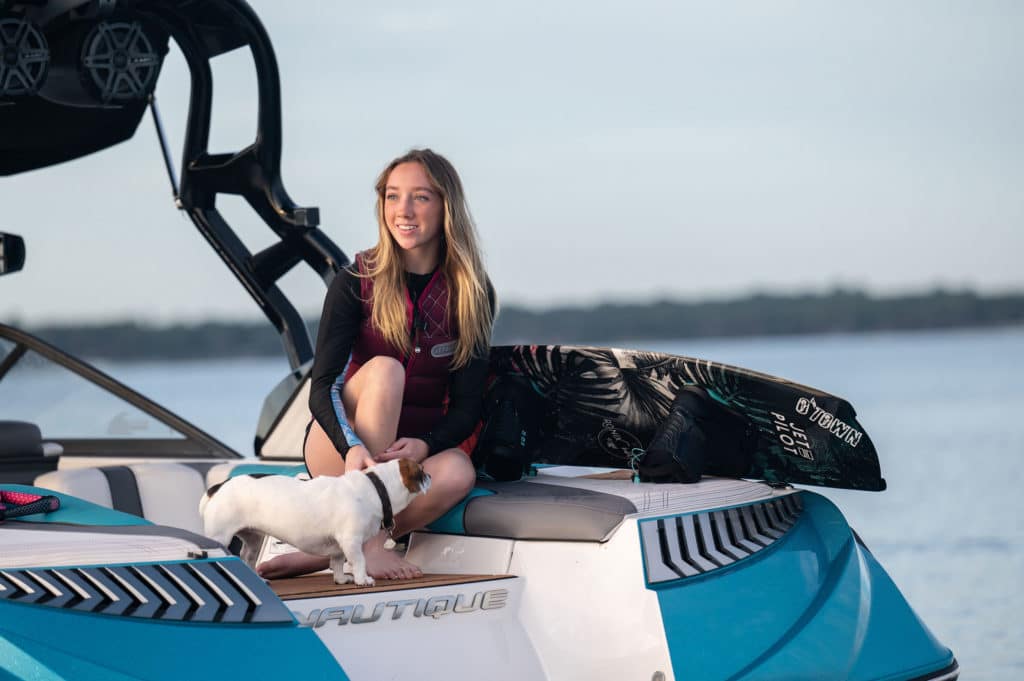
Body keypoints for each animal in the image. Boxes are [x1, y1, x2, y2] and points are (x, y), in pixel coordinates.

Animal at [197, 456, 430, 585]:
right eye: (422, 471)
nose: (430, 476)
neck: (376, 486)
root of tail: (218, 487)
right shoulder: (351, 540)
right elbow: (360, 561)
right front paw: (362, 579)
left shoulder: (339, 546)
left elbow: (337, 562)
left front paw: (341, 579)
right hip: (220, 536)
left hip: (253, 539)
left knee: (246, 556)